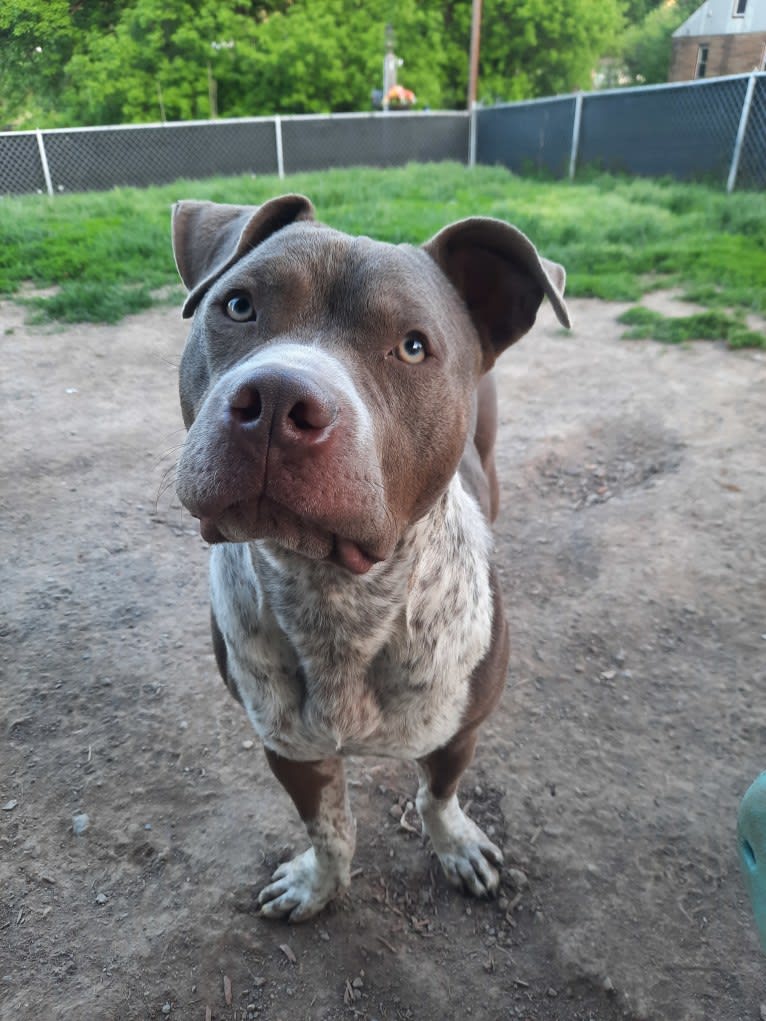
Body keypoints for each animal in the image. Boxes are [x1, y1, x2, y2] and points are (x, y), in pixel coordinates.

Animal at [172, 195, 571, 922]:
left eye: (413, 346)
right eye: (239, 305)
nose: (277, 398)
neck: (335, 590)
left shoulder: (459, 731)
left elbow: (437, 798)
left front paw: (457, 847)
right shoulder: (290, 750)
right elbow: (330, 829)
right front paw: (318, 884)